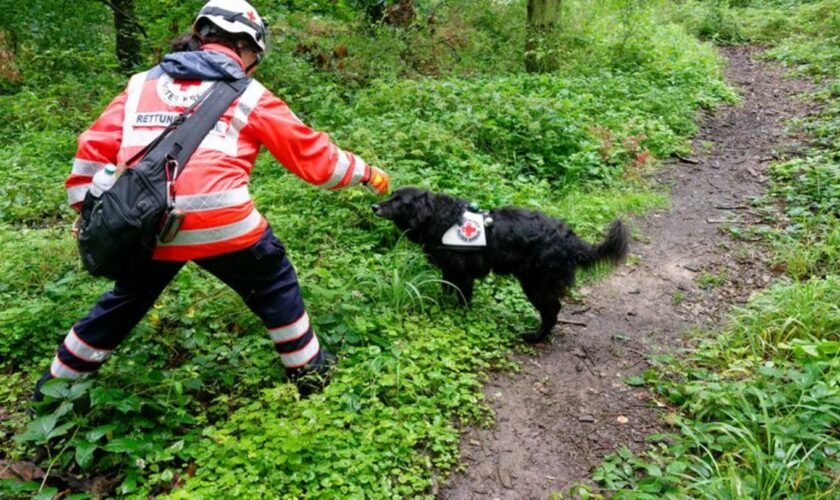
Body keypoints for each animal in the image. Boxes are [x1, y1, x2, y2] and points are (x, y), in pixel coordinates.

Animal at [370, 188, 628, 344]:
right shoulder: (449, 271)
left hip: (535, 283)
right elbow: (446, 291)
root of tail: (570, 239)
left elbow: (463, 300)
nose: (374, 206)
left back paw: (535, 337)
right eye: (390, 195)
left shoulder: (464, 274)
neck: (439, 218)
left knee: (552, 311)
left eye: (398, 200)